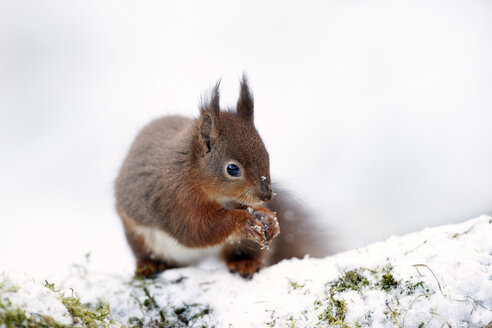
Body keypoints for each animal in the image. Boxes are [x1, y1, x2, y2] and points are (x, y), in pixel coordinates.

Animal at [114, 75, 324, 278]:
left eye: (266, 155)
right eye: (232, 169)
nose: (266, 196)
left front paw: (268, 217)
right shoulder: (177, 198)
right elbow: (196, 230)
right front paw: (243, 221)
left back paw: (245, 262)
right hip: (139, 237)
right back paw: (151, 264)